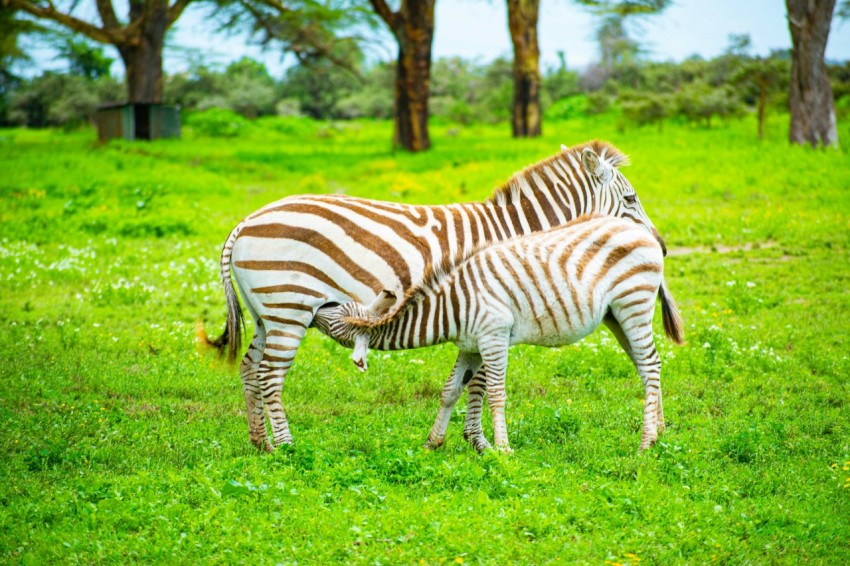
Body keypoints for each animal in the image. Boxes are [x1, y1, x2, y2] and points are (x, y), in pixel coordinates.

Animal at [314, 215, 684, 454]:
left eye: (335, 321)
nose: (316, 306)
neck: (451, 306)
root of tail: (641, 229)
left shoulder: (493, 337)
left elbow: (495, 393)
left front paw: (504, 449)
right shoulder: (471, 346)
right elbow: (450, 391)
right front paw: (433, 442)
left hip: (633, 304)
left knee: (650, 364)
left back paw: (645, 444)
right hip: (616, 316)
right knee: (647, 368)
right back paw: (659, 432)